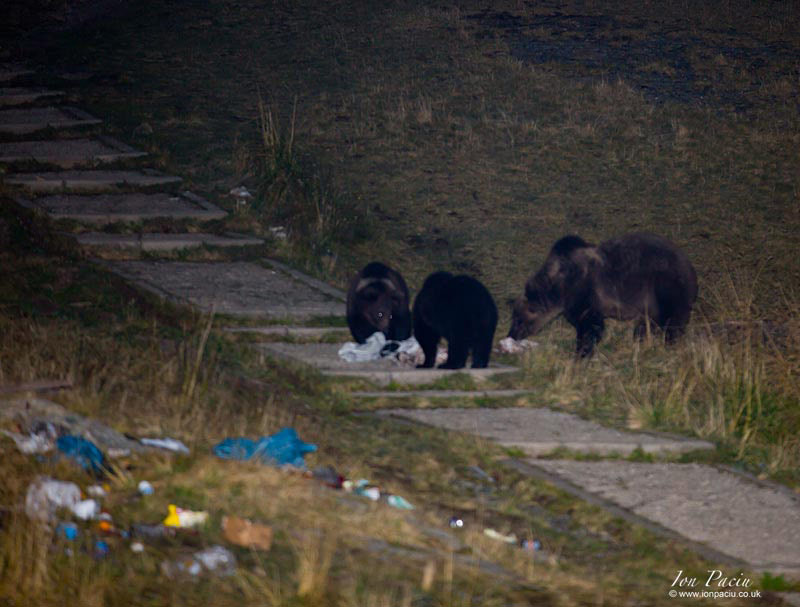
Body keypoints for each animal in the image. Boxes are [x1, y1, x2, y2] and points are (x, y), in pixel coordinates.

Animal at [510, 232, 696, 356]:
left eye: (519, 320)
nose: (511, 335)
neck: (560, 286)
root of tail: (689, 265)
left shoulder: (583, 293)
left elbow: (590, 326)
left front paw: (581, 353)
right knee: (649, 322)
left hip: (664, 285)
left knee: (672, 319)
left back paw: (669, 342)